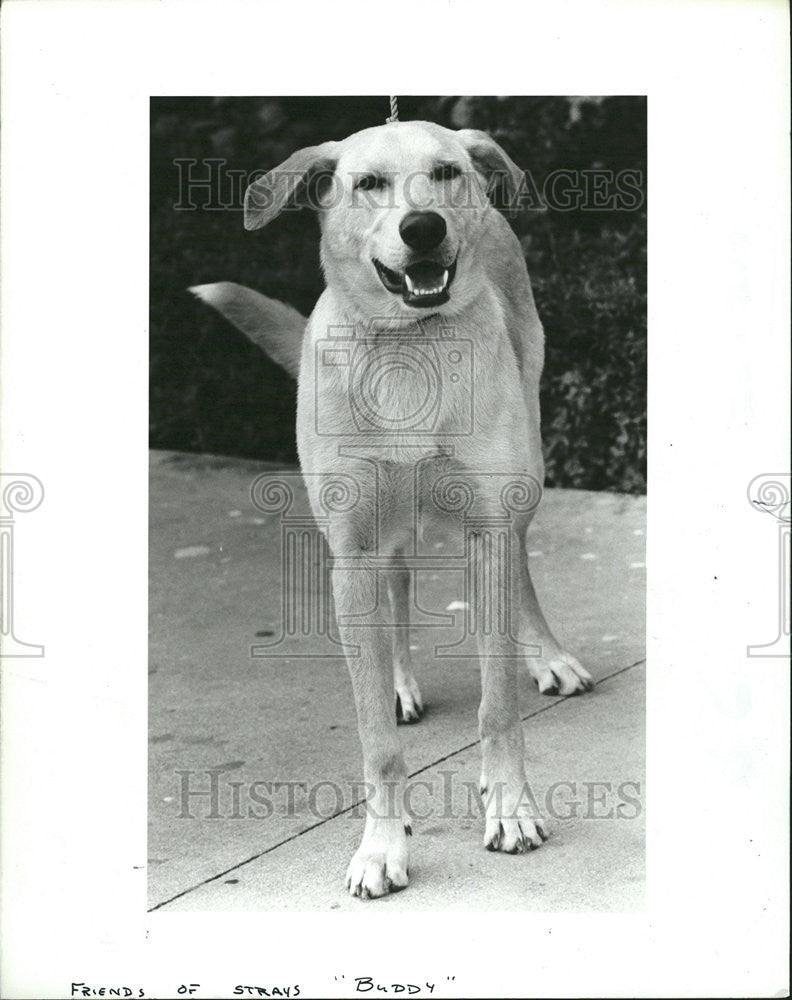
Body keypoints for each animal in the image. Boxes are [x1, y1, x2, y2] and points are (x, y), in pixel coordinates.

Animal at [190, 119, 588, 900]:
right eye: (369, 183)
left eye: (446, 172)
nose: (423, 226)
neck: (410, 345)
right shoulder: (351, 553)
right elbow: (375, 738)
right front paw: (381, 844)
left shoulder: (489, 530)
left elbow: (498, 707)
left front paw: (510, 808)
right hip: (385, 536)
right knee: (398, 587)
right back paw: (402, 683)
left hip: (526, 472)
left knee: (520, 570)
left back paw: (548, 655)